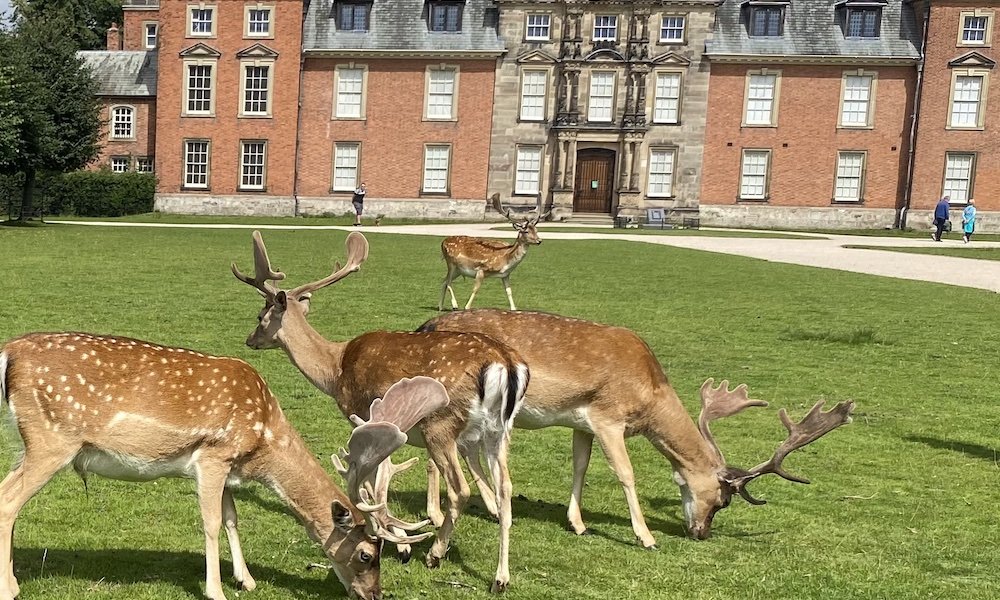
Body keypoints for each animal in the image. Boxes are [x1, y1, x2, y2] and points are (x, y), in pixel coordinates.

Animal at [0, 333, 444, 600]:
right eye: (368, 555)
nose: (375, 595)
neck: (263, 443)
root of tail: (9, 351)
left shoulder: (230, 467)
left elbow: (232, 518)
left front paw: (246, 579)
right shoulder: (213, 455)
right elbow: (211, 522)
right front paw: (216, 590)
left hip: (33, 443)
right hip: (52, 440)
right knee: (8, 501)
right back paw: (10, 588)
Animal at [232, 230, 529, 593]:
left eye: (259, 317)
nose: (250, 340)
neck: (335, 371)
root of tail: (506, 364)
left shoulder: (362, 416)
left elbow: (372, 484)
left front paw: (401, 545)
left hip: (440, 426)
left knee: (461, 489)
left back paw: (436, 553)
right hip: (499, 431)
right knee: (506, 490)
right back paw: (500, 578)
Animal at [417, 309, 855, 546]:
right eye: (722, 502)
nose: (701, 534)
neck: (649, 393)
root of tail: (429, 324)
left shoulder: (582, 423)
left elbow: (580, 467)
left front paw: (578, 524)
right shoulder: (609, 418)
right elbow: (626, 474)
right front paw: (646, 536)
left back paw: (484, 506)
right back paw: (440, 514)